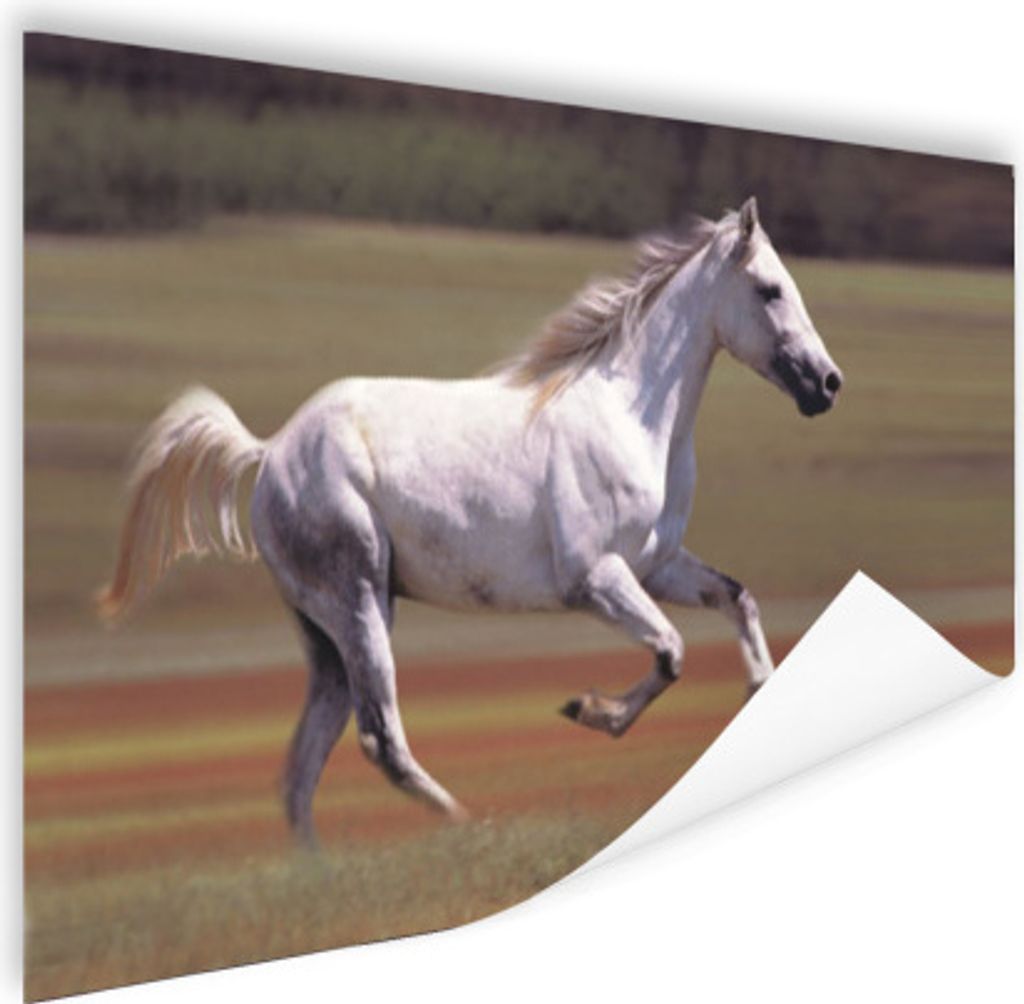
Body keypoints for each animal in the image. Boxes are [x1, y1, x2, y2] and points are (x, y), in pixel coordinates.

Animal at [97, 197, 843, 847]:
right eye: (771, 290)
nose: (828, 383)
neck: (631, 415)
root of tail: (272, 448)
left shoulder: (659, 566)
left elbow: (737, 599)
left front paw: (757, 689)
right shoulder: (596, 579)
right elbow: (670, 651)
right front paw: (586, 711)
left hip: (325, 635)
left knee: (302, 768)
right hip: (361, 604)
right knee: (380, 739)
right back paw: (468, 825)